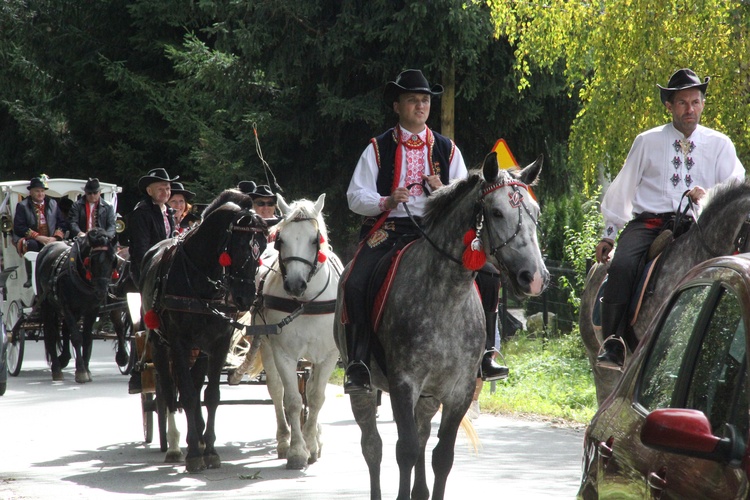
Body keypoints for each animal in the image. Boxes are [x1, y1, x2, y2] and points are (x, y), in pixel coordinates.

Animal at [36, 229, 117, 384]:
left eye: (112, 260)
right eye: (93, 260)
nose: (101, 292)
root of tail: (46, 248)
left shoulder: (91, 310)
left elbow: (87, 338)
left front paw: (87, 368)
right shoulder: (67, 307)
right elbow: (76, 337)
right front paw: (81, 371)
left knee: (65, 330)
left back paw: (64, 358)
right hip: (47, 305)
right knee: (50, 333)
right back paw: (56, 368)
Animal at [140, 190, 268, 472]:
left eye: (263, 248)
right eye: (240, 247)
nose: (245, 297)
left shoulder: (218, 343)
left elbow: (211, 396)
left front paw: (208, 449)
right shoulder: (178, 343)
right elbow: (187, 395)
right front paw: (193, 454)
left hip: (200, 350)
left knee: (196, 382)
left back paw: (196, 435)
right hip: (159, 344)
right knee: (168, 390)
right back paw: (175, 444)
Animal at [256, 194, 344, 468]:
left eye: (315, 240)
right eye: (280, 240)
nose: (295, 284)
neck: (306, 303)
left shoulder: (329, 356)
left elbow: (316, 398)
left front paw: (312, 444)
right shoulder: (283, 353)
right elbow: (293, 400)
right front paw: (296, 450)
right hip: (265, 345)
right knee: (276, 391)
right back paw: (284, 440)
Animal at [338, 152, 548, 500]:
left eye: (536, 212)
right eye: (496, 212)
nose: (534, 278)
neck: (446, 297)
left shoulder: (459, 391)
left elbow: (441, 457)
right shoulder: (403, 385)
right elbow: (405, 450)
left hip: (429, 397)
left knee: (422, 435)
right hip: (366, 390)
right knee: (373, 447)